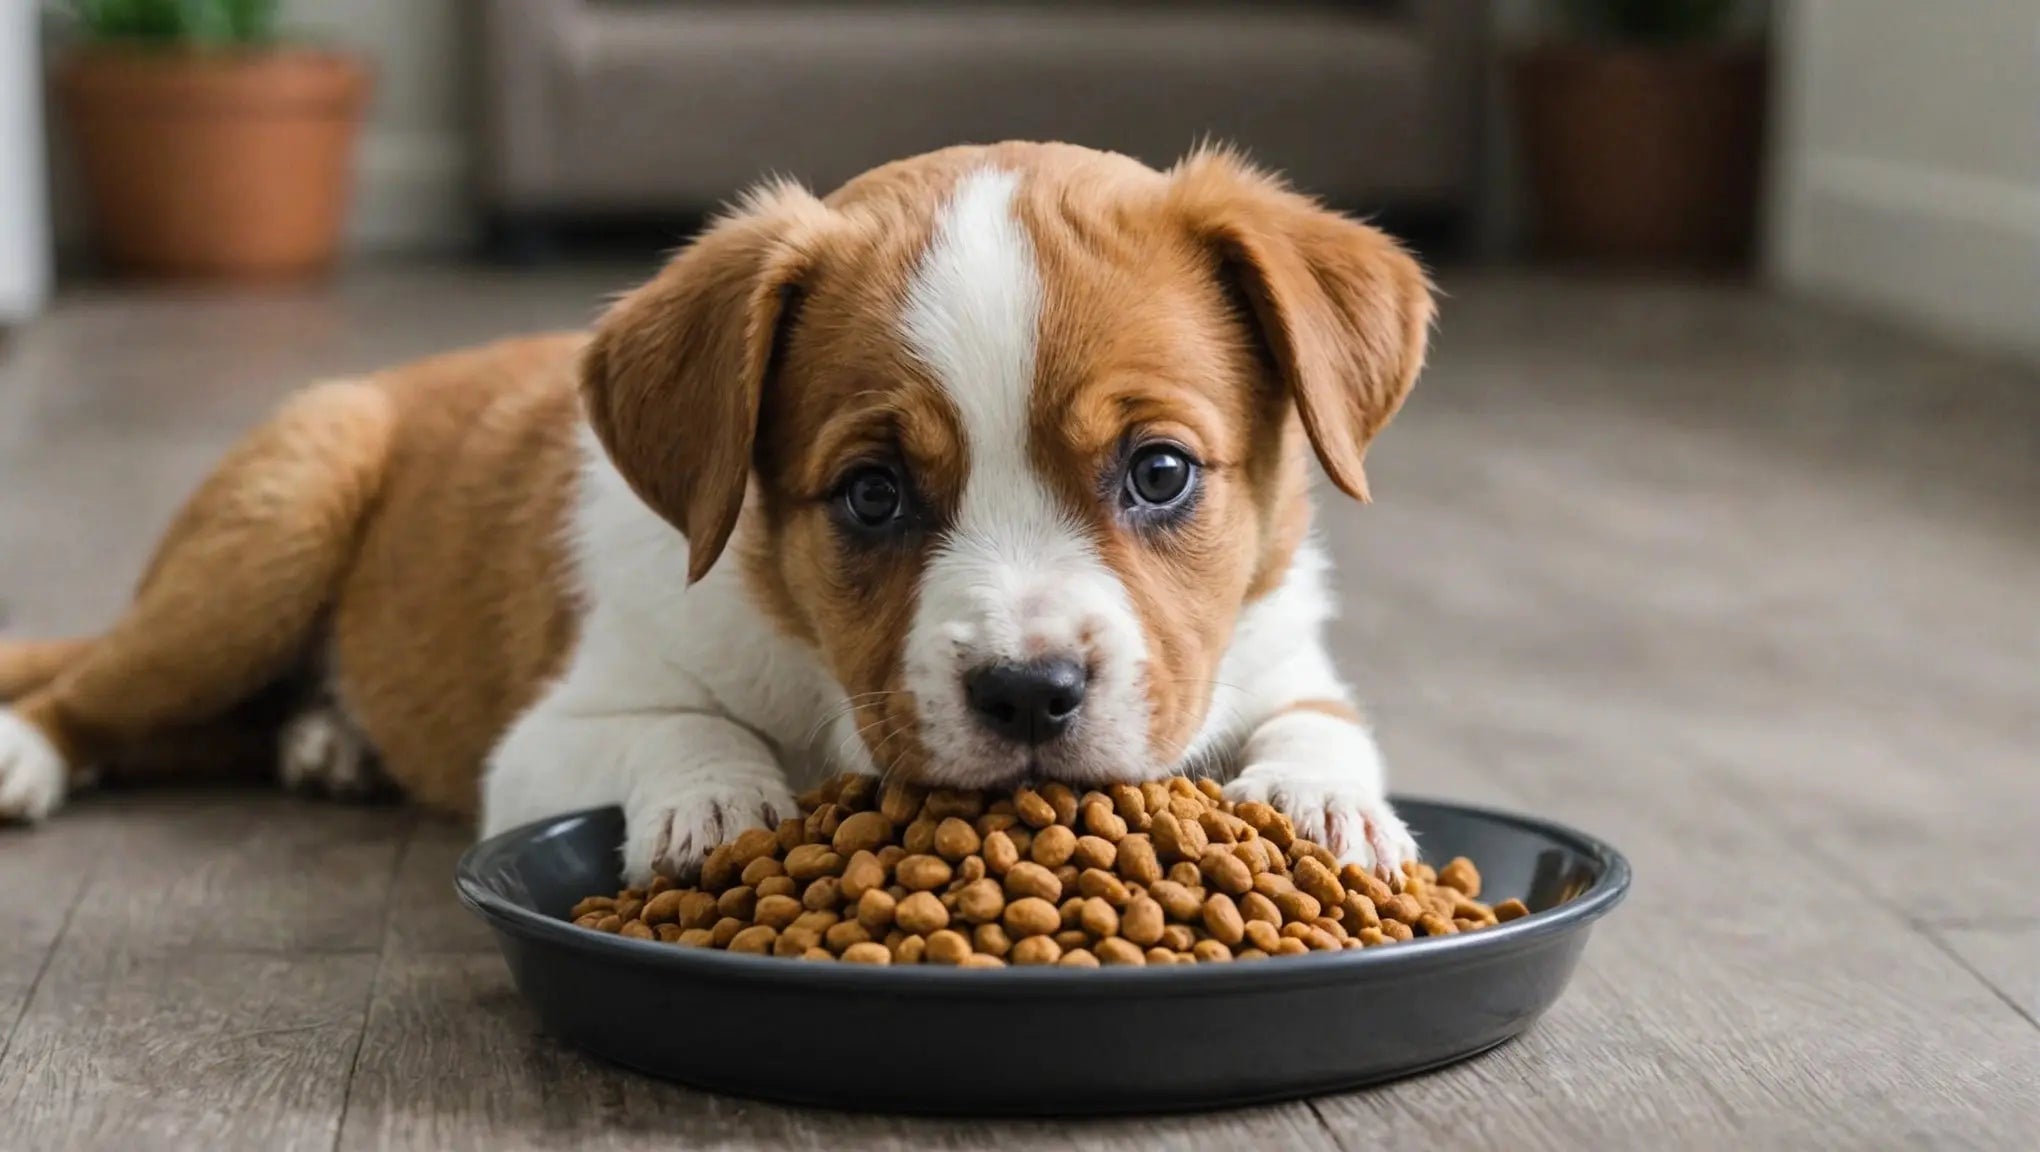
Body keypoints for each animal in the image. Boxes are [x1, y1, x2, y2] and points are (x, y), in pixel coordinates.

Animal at [0, 141, 1436, 880]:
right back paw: (30, 753)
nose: (1031, 696)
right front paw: (717, 800)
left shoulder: (1271, 652)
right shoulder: (549, 737)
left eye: (1160, 473)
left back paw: (326, 741)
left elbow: (1318, 725)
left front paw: (1328, 809)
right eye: (872, 494)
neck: (820, 690)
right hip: (267, 544)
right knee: (104, 693)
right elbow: (681, 726)